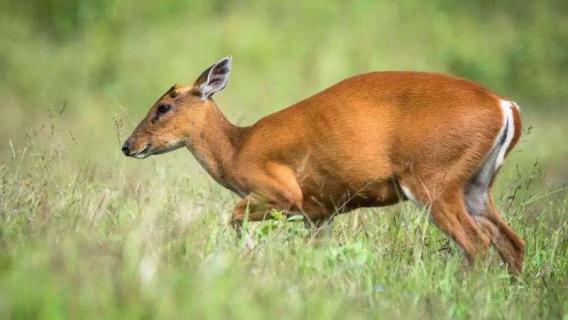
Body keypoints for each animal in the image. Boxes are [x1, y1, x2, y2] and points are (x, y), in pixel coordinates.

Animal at [122, 56, 524, 274]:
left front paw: (246, 256)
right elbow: (319, 252)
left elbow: (233, 218)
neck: (237, 149)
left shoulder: (281, 192)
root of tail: (506, 107)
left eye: (163, 107)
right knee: (512, 241)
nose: (128, 145)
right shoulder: (319, 212)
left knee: (476, 243)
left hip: (433, 178)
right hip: (476, 184)